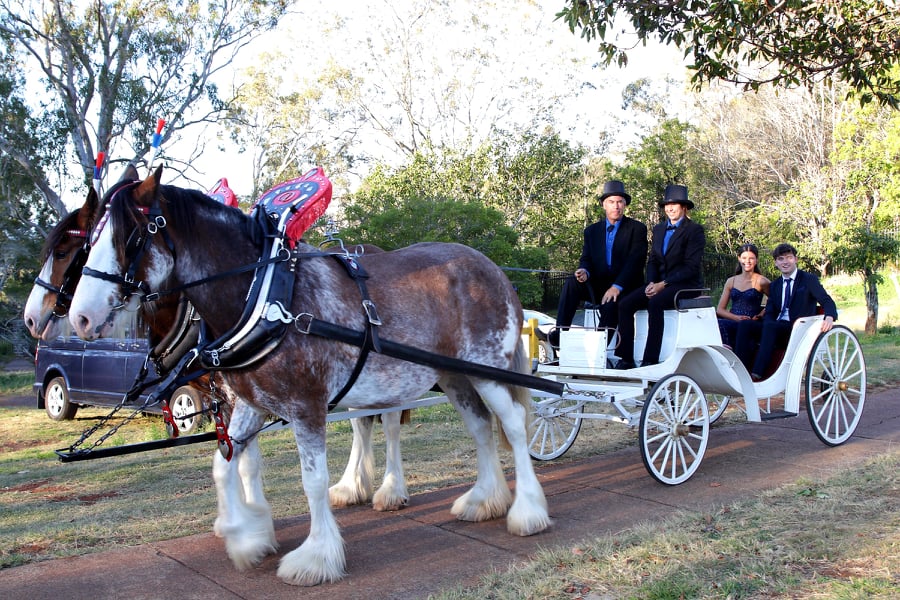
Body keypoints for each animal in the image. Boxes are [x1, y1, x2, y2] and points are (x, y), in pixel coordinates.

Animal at [67, 165, 548, 584]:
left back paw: (527, 512)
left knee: (512, 426)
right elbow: (224, 466)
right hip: (453, 377)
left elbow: (311, 480)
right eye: (89, 240)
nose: (80, 319)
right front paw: (247, 538)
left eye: (129, 237)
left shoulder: (305, 405)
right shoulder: (250, 404)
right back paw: (484, 500)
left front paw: (316, 557)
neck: (264, 295)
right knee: (481, 426)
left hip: (487, 368)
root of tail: (492, 268)